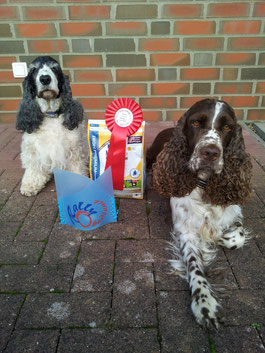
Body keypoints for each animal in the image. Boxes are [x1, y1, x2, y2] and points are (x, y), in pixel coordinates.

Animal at [16, 56, 87, 197]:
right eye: (33, 69)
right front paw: (30, 185)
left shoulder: (74, 148)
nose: (45, 79)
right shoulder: (33, 149)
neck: (50, 114)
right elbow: (33, 168)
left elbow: (76, 166)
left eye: (54, 68)